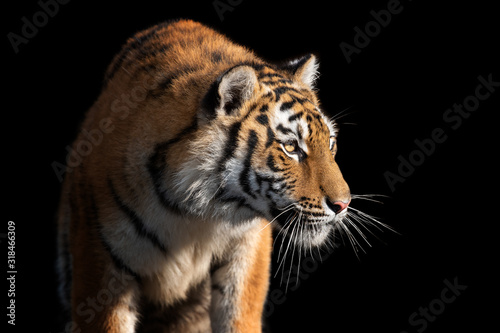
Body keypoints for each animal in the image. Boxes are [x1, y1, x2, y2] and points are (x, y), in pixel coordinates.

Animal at [55, 18, 352, 332]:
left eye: (330, 143)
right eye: (291, 147)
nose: (343, 204)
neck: (194, 211)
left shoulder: (246, 250)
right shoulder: (101, 264)